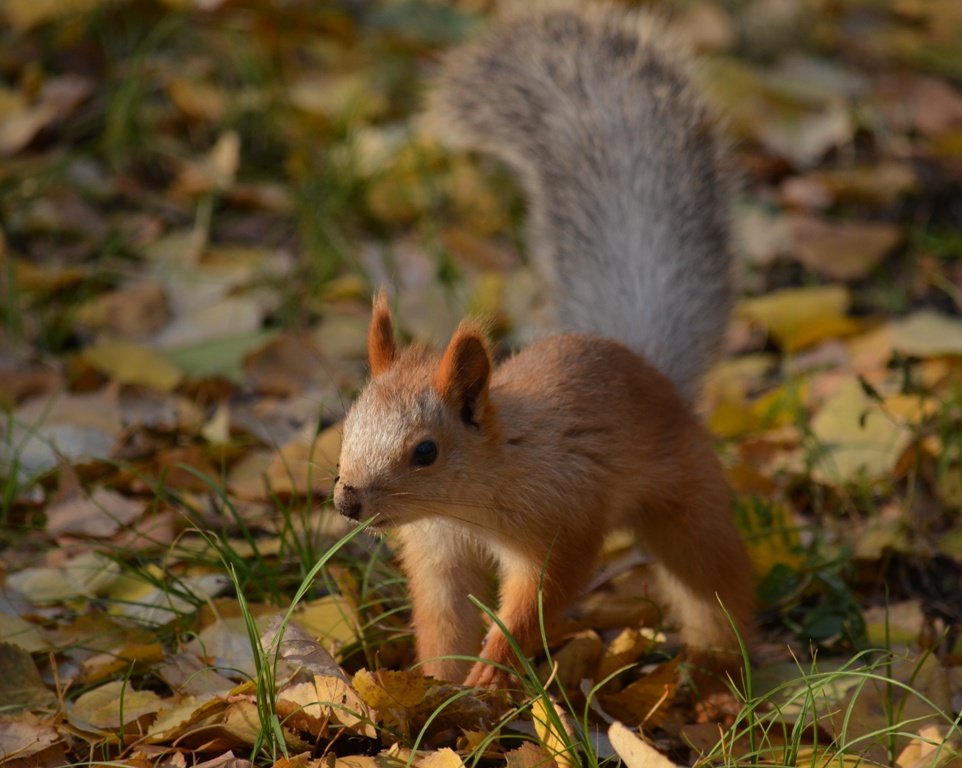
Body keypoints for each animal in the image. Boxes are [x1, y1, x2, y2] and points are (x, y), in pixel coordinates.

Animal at [334, 4, 752, 688]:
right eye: (346, 425)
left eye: (425, 452)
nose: (348, 501)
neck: (473, 497)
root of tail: (649, 366)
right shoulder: (438, 548)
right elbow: (442, 611)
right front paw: (439, 684)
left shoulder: (564, 518)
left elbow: (540, 597)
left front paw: (491, 670)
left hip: (687, 496)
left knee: (712, 578)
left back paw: (722, 666)